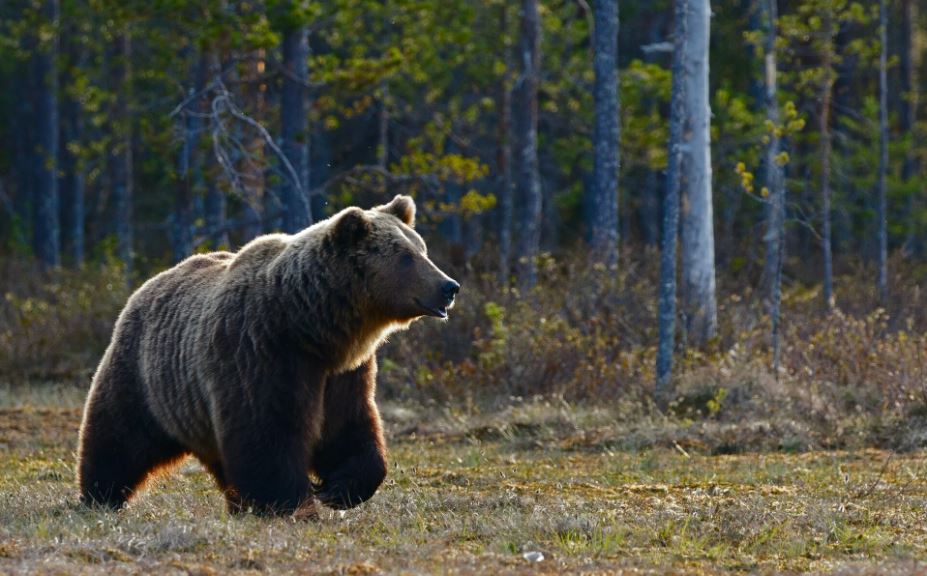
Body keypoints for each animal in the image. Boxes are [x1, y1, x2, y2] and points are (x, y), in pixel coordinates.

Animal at [76, 195, 460, 516]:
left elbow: (349, 427)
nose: (449, 286)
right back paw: (100, 496)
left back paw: (236, 503)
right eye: (406, 257)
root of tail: (148, 284)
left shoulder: (343, 373)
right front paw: (292, 502)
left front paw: (337, 489)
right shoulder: (261, 351)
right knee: (118, 436)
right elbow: (267, 433)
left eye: (422, 249)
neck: (311, 326)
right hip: (146, 376)